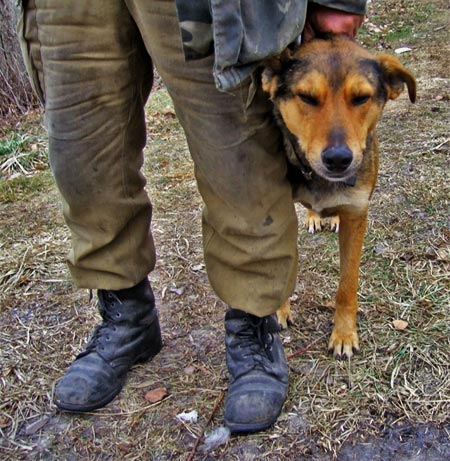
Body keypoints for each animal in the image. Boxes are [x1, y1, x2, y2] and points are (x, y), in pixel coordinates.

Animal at [262, 36, 416, 360]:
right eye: (307, 97)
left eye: (361, 98)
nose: (337, 160)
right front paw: (280, 309)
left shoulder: (357, 215)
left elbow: (347, 284)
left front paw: (344, 334)